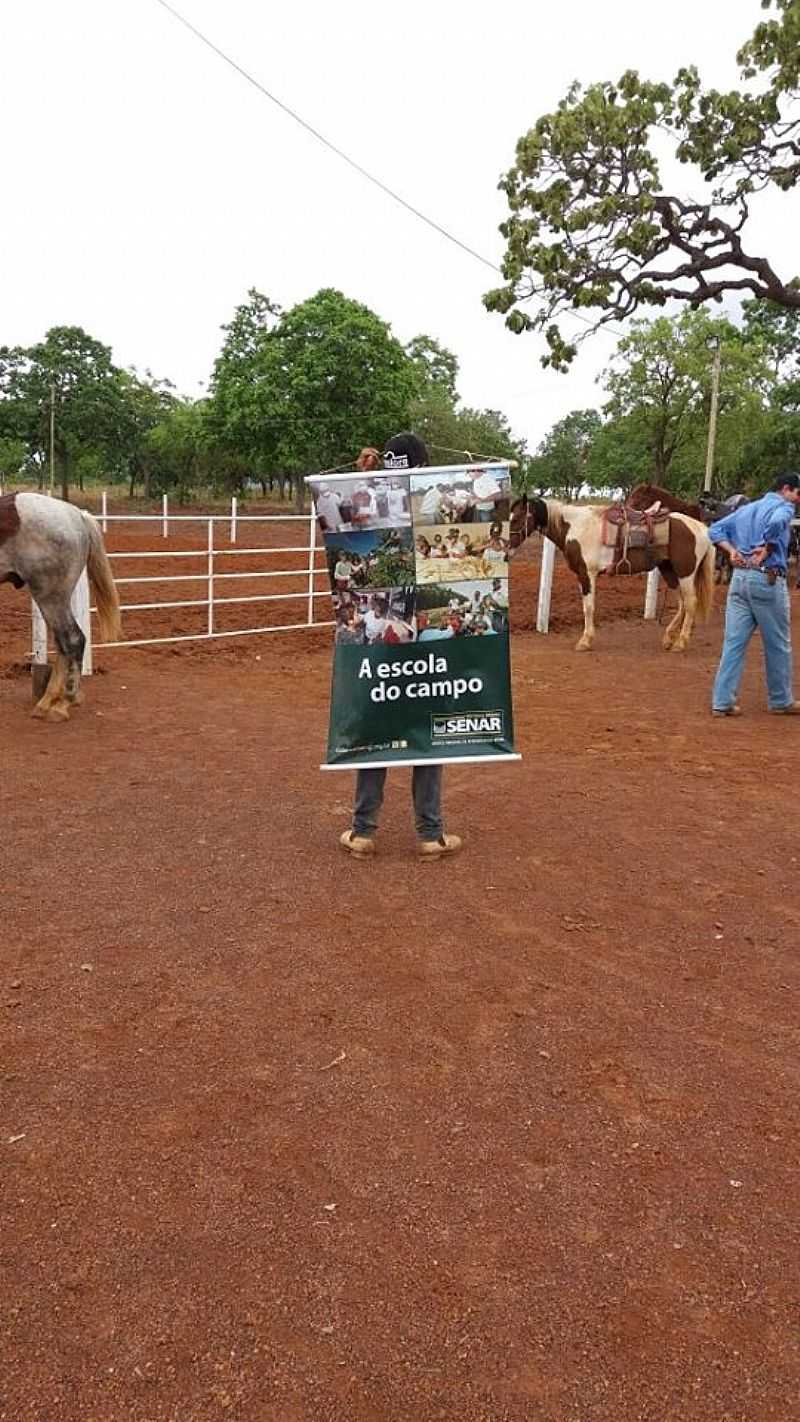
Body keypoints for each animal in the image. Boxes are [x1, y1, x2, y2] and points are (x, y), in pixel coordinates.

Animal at [0, 494, 120, 728]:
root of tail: (77, 515)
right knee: (62, 643)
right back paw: (47, 701)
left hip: (50, 598)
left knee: (73, 640)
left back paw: (63, 704)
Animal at [514, 497, 719, 651]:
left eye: (516, 518)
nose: (506, 544)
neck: (576, 526)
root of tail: (702, 528)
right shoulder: (582, 575)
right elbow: (586, 606)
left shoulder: (588, 574)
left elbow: (588, 608)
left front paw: (585, 641)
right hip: (669, 571)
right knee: (682, 604)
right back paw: (668, 638)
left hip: (685, 573)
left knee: (690, 603)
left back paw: (680, 642)